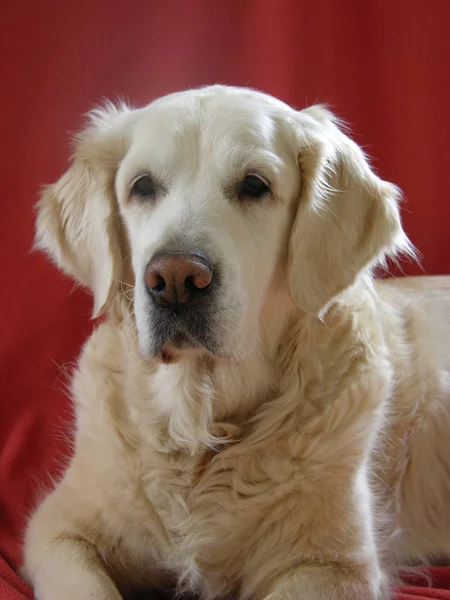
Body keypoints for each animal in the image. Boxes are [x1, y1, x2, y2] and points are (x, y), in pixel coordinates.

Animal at [22, 85, 450, 600]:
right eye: (142, 186)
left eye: (254, 185)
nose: (176, 279)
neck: (200, 428)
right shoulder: (57, 529)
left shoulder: (333, 566)